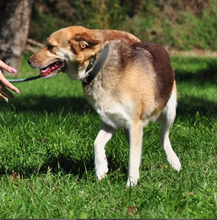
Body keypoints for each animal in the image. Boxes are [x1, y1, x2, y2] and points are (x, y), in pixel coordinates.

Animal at [27, 25, 181, 186]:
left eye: (50, 46)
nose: (28, 61)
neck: (96, 64)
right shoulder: (110, 121)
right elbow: (97, 143)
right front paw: (101, 168)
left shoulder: (134, 124)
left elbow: (132, 159)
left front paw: (131, 185)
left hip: (169, 113)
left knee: (163, 137)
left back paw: (174, 161)